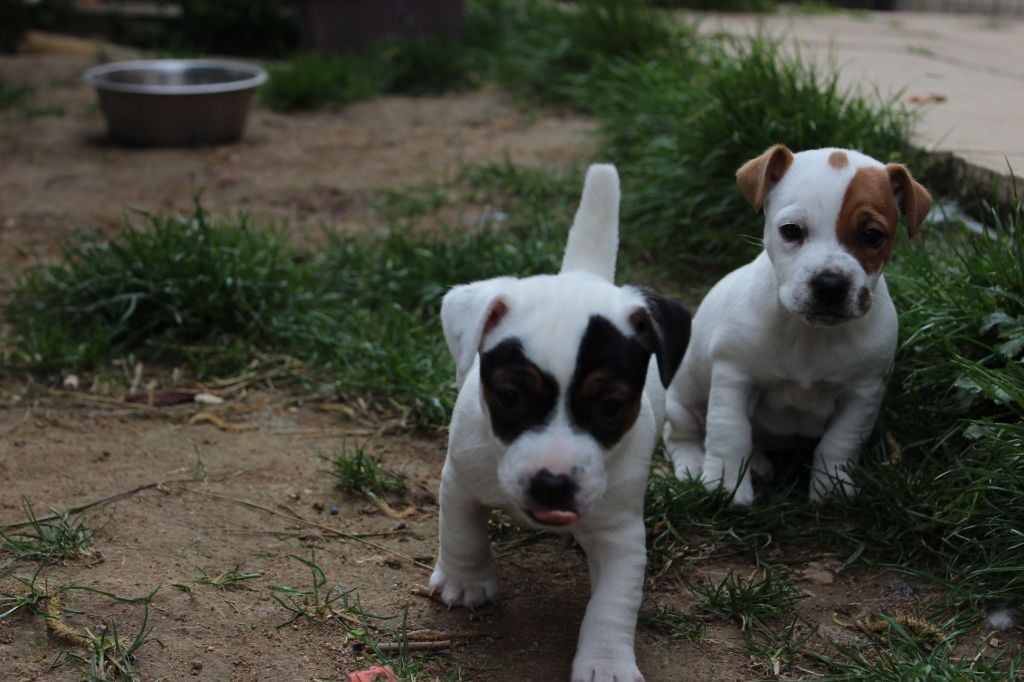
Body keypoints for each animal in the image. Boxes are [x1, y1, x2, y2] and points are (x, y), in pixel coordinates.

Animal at [428, 161, 692, 675]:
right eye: (509, 395)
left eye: (610, 407)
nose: (552, 484)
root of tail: (583, 274)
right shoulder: (461, 479)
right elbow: (461, 532)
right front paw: (466, 582)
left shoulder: (621, 534)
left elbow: (613, 602)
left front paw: (606, 663)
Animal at [663, 144, 929, 503]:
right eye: (791, 230)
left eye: (872, 236)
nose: (830, 284)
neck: (808, 334)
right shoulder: (734, 378)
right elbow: (730, 434)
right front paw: (726, 486)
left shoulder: (862, 395)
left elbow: (839, 443)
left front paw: (831, 487)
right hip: (683, 399)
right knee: (681, 434)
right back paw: (695, 463)